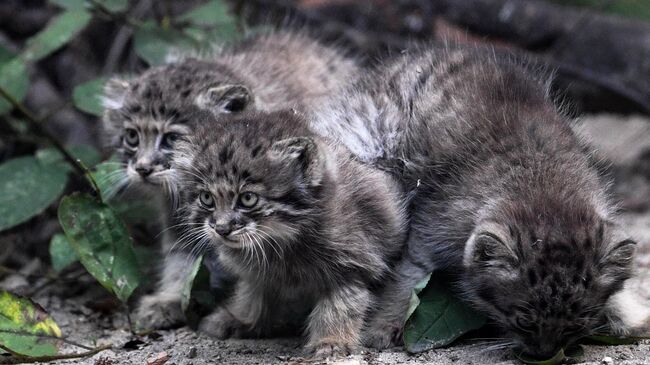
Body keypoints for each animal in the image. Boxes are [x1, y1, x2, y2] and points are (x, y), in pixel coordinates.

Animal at [98, 29, 356, 328]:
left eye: (172, 139)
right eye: (132, 136)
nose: (142, 168)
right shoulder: (180, 214)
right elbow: (181, 257)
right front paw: (170, 299)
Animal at [172, 108, 404, 356]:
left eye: (248, 198)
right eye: (206, 198)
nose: (222, 229)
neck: (278, 240)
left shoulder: (353, 262)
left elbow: (340, 304)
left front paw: (331, 341)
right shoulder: (257, 274)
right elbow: (251, 297)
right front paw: (239, 319)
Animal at [308, 44, 632, 356]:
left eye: (576, 325)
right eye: (524, 321)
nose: (545, 353)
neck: (544, 192)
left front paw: (623, 313)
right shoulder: (432, 229)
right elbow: (407, 277)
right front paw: (384, 325)